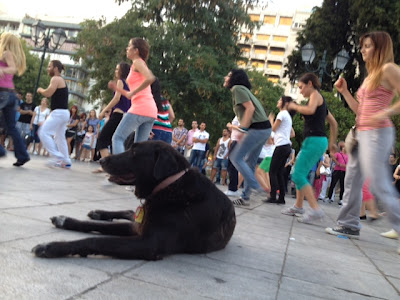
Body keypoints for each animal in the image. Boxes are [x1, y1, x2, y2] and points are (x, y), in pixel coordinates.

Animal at [33, 141, 238, 260]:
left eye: (133, 153)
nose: (101, 160)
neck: (170, 186)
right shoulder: (138, 228)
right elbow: (95, 227)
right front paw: (65, 221)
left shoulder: (148, 243)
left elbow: (98, 240)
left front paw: (52, 247)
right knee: (130, 212)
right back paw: (98, 213)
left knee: (131, 213)